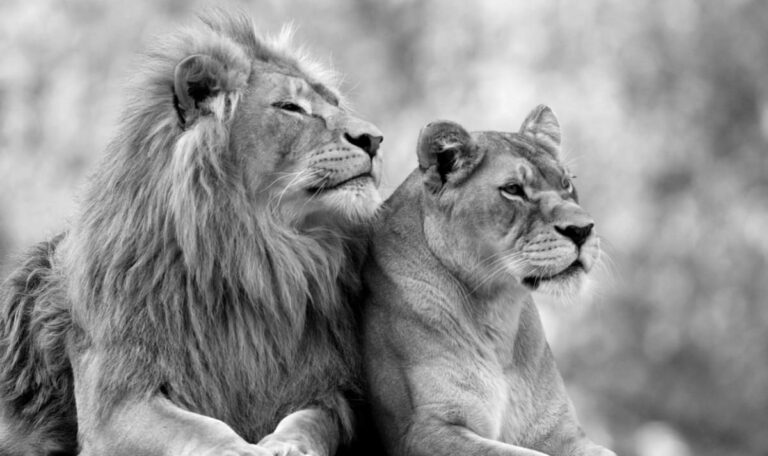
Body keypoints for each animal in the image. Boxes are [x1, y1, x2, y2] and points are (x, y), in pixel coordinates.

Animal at [0, 12, 383, 456]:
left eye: (335, 103)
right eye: (290, 107)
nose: (375, 139)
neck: (257, 258)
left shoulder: (328, 390)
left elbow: (311, 421)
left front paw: (288, 444)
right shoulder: (115, 405)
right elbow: (203, 430)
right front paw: (246, 450)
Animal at [361, 106, 616, 456]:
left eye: (566, 183)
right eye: (513, 189)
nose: (582, 230)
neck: (498, 313)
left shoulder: (560, 431)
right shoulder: (424, 431)